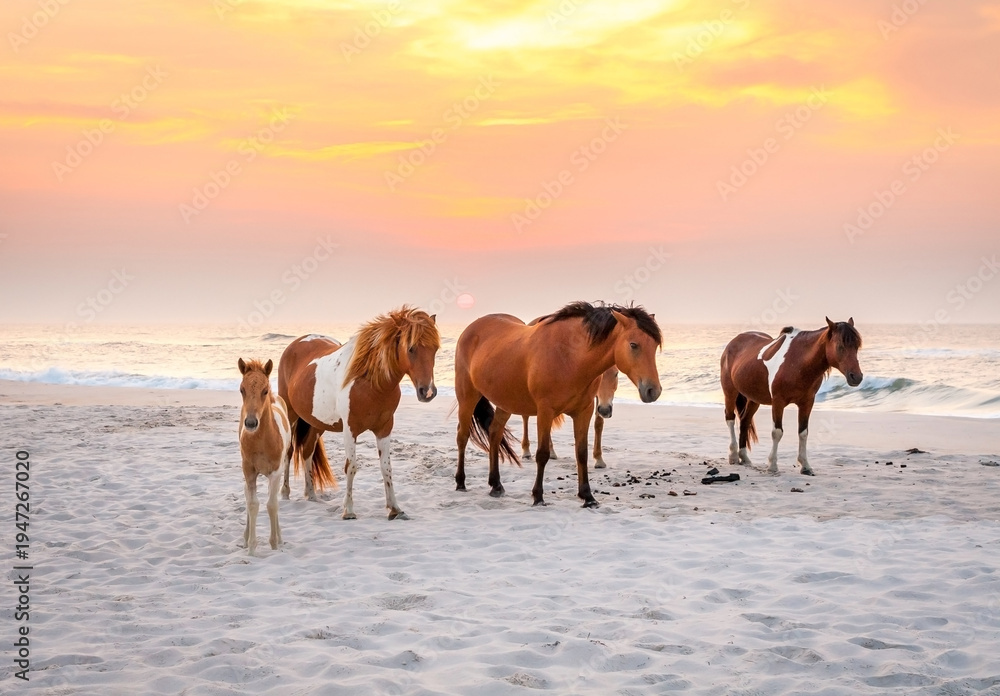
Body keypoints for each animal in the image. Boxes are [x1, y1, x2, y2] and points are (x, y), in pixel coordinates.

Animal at [238, 358, 291, 556]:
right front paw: (251, 548)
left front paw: (274, 544)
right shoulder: (248, 471)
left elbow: (272, 505)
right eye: (242, 389)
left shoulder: (275, 472)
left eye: (265, 390)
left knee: (272, 500)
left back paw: (280, 537)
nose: (251, 423)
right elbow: (253, 503)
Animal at [277, 306, 440, 520]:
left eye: (435, 349)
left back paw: (311, 495)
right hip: (291, 415)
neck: (371, 382)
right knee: (288, 452)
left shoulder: (384, 428)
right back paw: (285, 493)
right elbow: (351, 467)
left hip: (316, 423)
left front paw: (395, 508)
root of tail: (295, 344)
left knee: (307, 452)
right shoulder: (350, 430)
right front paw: (348, 510)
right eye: (411, 348)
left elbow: (386, 467)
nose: (427, 392)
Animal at [454, 301, 662, 507]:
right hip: (467, 397)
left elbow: (581, 453)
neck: (570, 357)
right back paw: (461, 482)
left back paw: (496, 485)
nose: (653, 390)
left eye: (654, 346)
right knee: (462, 436)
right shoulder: (545, 411)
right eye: (634, 345)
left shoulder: (584, 411)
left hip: (505, 403)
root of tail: (471, 328)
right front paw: (538, 496)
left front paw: (588, 497)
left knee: (495, 433)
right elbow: (543, 454)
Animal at [720, 317, 863, 475]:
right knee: (730, 418)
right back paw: (733, 456)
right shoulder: (778, 402)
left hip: (753, 399)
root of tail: (733, 342)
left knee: (745, 421)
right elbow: (777, 432)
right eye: (840, 346)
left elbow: (803, 433)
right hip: (730, 392)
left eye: (857, 346)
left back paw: (744, 457)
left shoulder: (807, 403)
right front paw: (772, 465)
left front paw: (805, 466)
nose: (856, 377)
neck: (798, 363)